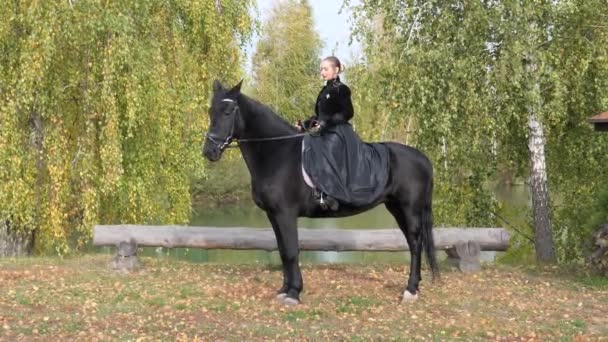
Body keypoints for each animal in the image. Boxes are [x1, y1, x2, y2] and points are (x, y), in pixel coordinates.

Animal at [203, 79, 436, 304]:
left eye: (227, 112)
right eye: (210, 111)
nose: (209, 151)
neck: (278, 154)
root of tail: (423, 158)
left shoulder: (285, 214)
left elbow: (291, 251)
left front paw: (294, 293)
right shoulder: (273, 215)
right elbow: (283, 250)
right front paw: (284, 290)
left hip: (409, 209)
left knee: (415, 243)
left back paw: (410, 291)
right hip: (396, 208)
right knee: (413, 242)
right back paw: (415, 287)